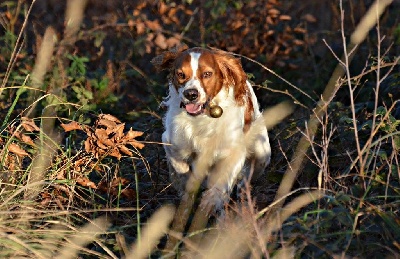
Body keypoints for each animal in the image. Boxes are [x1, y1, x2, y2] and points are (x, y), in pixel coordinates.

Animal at [151, 43, 272, 212]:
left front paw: (212, 198)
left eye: (207, 74)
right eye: (181, 74)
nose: (191, 94)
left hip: (262, 153)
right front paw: (186, 186)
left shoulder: (234, 149)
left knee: (247, 176)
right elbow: (180, 167)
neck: (201, 118)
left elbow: (224, 178)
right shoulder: (172, 142)